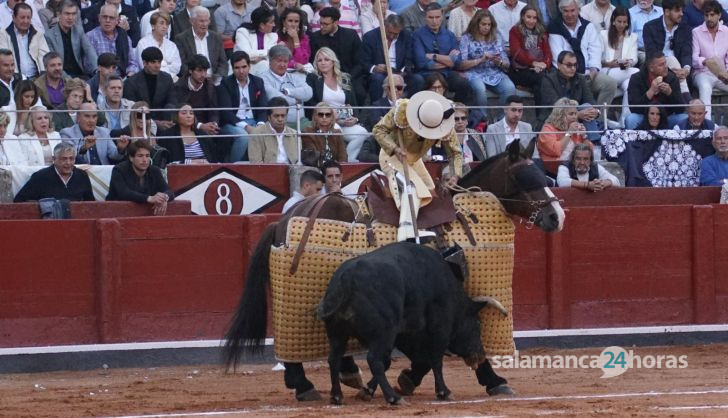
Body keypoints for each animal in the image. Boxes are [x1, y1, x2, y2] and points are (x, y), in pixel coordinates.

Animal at [318, 242, 506, 404]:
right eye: (477, 325)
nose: (480, 356)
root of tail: (348, 278)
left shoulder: (403, 335)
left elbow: (400, 361)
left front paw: (367, 391)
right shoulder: (439, 330)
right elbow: (435, 359)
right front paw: (444, 392)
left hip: (338, 334)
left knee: (334, 359)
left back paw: (337, 396)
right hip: (383, 334)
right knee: (374, 360)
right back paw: (393, 397)